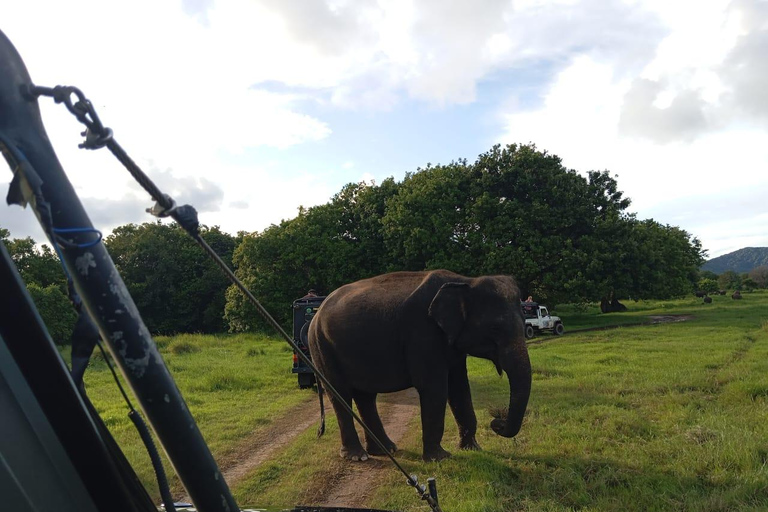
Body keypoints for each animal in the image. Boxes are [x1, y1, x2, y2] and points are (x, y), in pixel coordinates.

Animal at [304, 270, 528, 462]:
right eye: (495, 328)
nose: (497, 421)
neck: (466, 280)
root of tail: (315, 315)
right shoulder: (422, 333)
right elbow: (434, 388)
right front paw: (440, 459)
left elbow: (460, 388)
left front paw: (473, 449)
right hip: (322, 348)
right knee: (340, 395)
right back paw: (357, 456)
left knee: (365, 397)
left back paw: (385, 449)